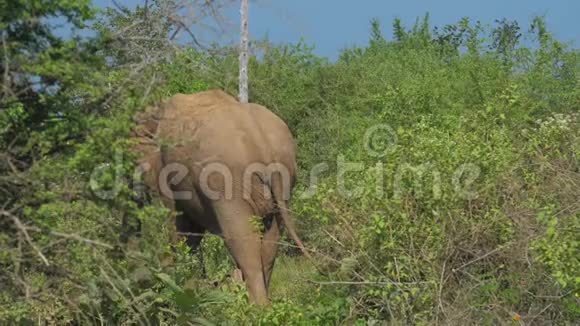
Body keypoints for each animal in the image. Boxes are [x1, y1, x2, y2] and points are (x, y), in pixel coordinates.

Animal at [130, 89, 310, 306]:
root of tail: (261, 140)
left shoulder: (168, 171)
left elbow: (179, 227)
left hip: (228, 183)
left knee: (242, 240)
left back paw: (256, 308)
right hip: (283, 182)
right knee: (270, 242)